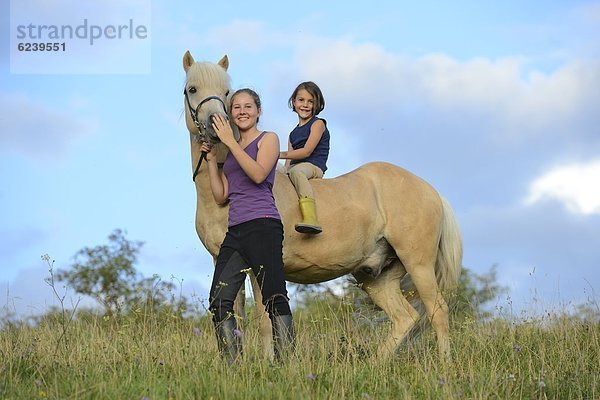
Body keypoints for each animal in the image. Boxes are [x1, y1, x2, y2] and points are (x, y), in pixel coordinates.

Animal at [183, 51, 464, 360]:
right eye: (192, 89)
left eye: (226, 92)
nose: (216, 125)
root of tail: (431, 190)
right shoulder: (222, 260)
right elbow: (235, 314)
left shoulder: (259, 266)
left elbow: (264, 317)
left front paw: (267, 362)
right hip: (377, 277)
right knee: (405, 318)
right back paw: (375, 363)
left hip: (419, 264)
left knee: (438, 311)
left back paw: (444, 365)